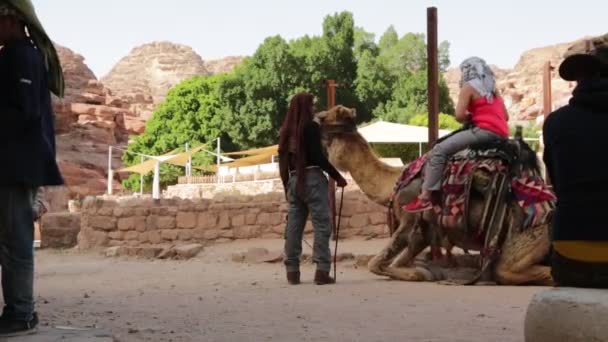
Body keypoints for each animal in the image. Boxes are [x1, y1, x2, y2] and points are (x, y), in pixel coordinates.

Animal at [318, 105, 556, 286]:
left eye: (323, 118)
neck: (394, 182)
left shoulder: (409, 221)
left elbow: (376, 264)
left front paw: (421, 272)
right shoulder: (424, 232)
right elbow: (398, 261)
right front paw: (425, 270)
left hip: (527, 235)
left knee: (507, 269)